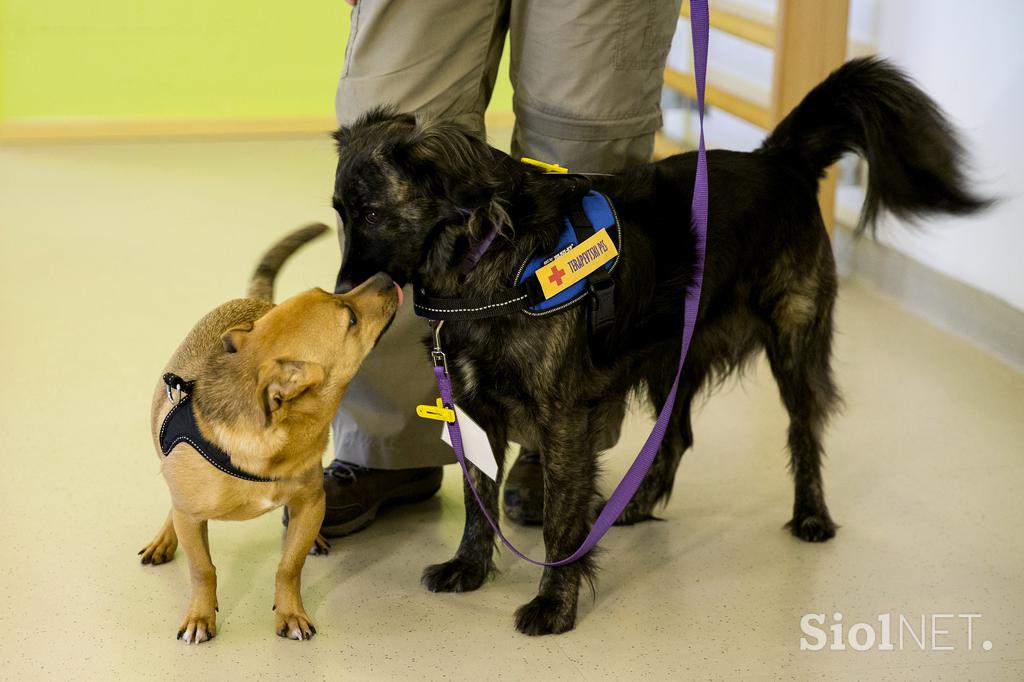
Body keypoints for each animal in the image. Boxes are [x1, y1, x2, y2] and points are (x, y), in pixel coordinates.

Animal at [139, 224, 399, 643]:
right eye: (349, 317)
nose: (385, 276)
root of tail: (254, 301)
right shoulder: (192, 518)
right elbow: (203, 570)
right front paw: (199, 616)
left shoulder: (311, 503)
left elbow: (289, 567)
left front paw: (291, 613)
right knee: (174, 505)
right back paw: (164, 538)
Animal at [331, 57, 987, 630]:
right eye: (339, 212)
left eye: (371, 214)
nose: (341, 295)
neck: (488, 255)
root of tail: (780, 161)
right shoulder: (472, 406)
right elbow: (477, 501)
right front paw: (469, 568)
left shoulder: (563, 416)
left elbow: (560, 523)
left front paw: (554, 606)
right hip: (671, 356)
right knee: (676, 435)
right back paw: (634, 506)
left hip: (793, 342)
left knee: (804, 431)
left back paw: (811, 515)